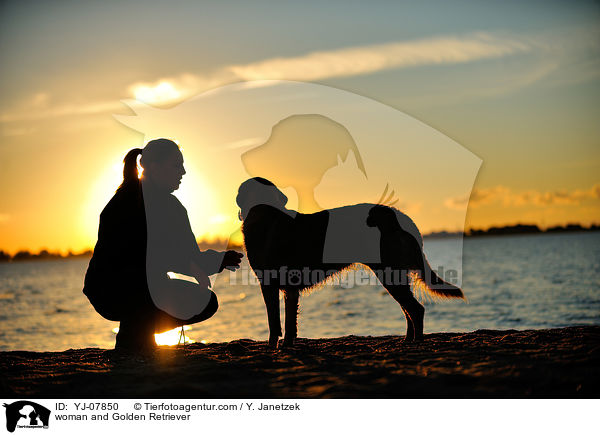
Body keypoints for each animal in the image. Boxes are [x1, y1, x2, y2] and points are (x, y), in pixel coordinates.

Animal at [236, 177, 464, 348]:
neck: (264, 212)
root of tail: (400, 217)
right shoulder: (290, 289)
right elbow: (290, 324)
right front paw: (287, 346)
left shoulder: (268, 284)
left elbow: (274, 323)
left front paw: (273, 347)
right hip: (394, 275)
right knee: (409, 309)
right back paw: (407, 340)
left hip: (389, 273)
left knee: (416, 309)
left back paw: (416, 342)